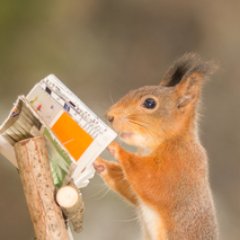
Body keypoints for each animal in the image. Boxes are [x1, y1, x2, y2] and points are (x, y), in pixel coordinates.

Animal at [94, 53, 218, 239]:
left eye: (150, 103)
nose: (109, 116)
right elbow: (131, 187)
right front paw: (100, 163)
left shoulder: (178, 169)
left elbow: (149, 180)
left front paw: (116, 148)